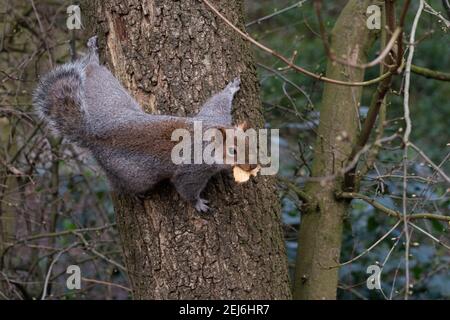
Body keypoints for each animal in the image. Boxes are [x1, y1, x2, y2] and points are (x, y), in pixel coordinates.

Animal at [32, 35, 256, 212]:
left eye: (251, 142)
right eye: (233, 151)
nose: (253, 166)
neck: (209, 140)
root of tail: (93, 133)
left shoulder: (214, 117)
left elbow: (217, 102)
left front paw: (231, 88)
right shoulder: (193, 170)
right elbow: (185, 188)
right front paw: (198, 204)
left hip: (109, 98)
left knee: (94, 73)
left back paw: (93, 57)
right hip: (134, 175)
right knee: (120, 186)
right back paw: (133, 194)